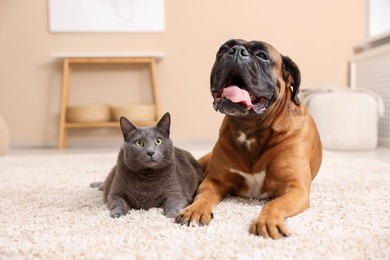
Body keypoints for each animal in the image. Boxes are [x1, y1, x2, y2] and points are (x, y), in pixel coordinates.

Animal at [175, 39, 322, 240]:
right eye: (223, 49)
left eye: (262, 55)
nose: (236, 51)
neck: (250, 129)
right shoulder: (214, 181)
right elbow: (203, 196)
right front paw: (194, 210)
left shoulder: (295, 189)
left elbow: (274, 204)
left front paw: (267, 221)